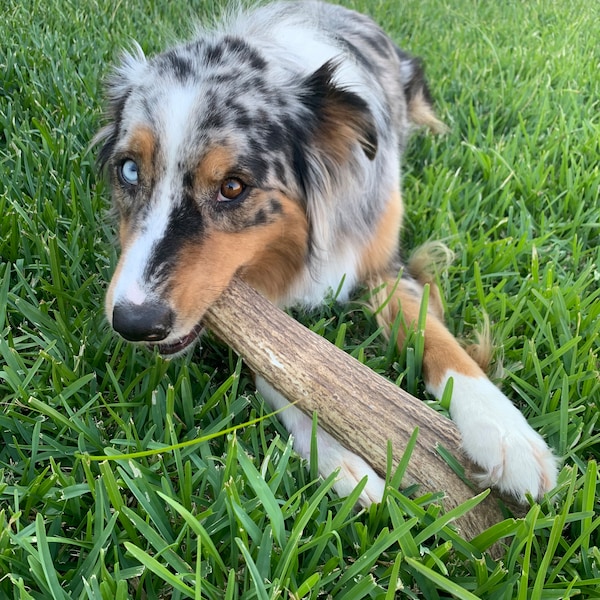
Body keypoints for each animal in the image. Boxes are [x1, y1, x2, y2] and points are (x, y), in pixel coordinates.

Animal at [94, 0, 556, 506]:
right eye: (129, 170)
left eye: (232, 187)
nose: (133, 324)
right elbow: (282, 370)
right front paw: (341, 460)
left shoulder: (384, 263)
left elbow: (436, 338)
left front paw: (504, 434)